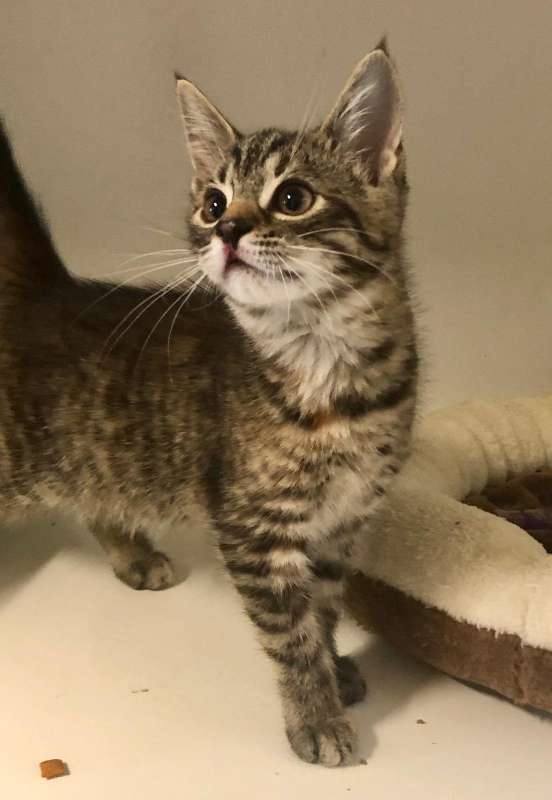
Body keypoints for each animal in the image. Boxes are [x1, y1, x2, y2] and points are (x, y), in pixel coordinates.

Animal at [0, 39, 417, 766]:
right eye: (214, 203)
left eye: (293, 197)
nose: (228, 231)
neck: (329, 368)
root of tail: (47, 291)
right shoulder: (255, 528)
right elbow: (292, 633)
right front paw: (316, 715)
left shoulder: (341, 523)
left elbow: (324, 607)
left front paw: (335, 670)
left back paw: (132, 552)